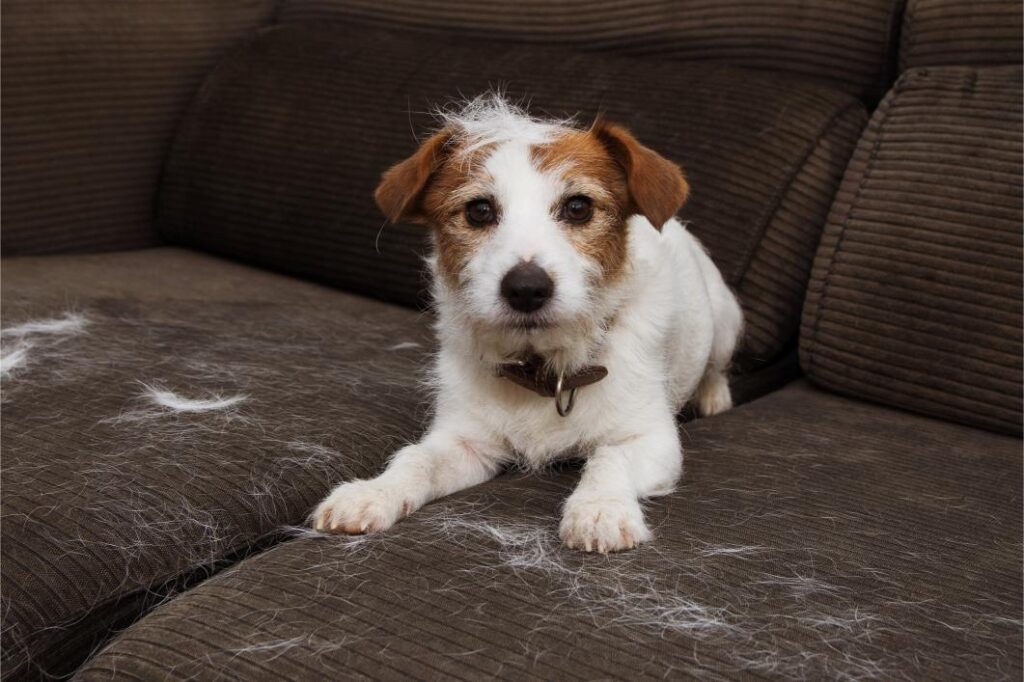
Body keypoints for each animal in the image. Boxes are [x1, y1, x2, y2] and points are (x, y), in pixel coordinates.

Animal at [313, 95, 745, 548]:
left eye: (578, 207)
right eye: (479, 210)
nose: (525, 288)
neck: (544, 368)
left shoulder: (650, 439)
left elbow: (610, 458)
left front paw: (599, 508)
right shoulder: (465, 442)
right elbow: (416, 459)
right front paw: (372, 493)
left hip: (725, 320)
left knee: (716, 366)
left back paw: (714, 397)